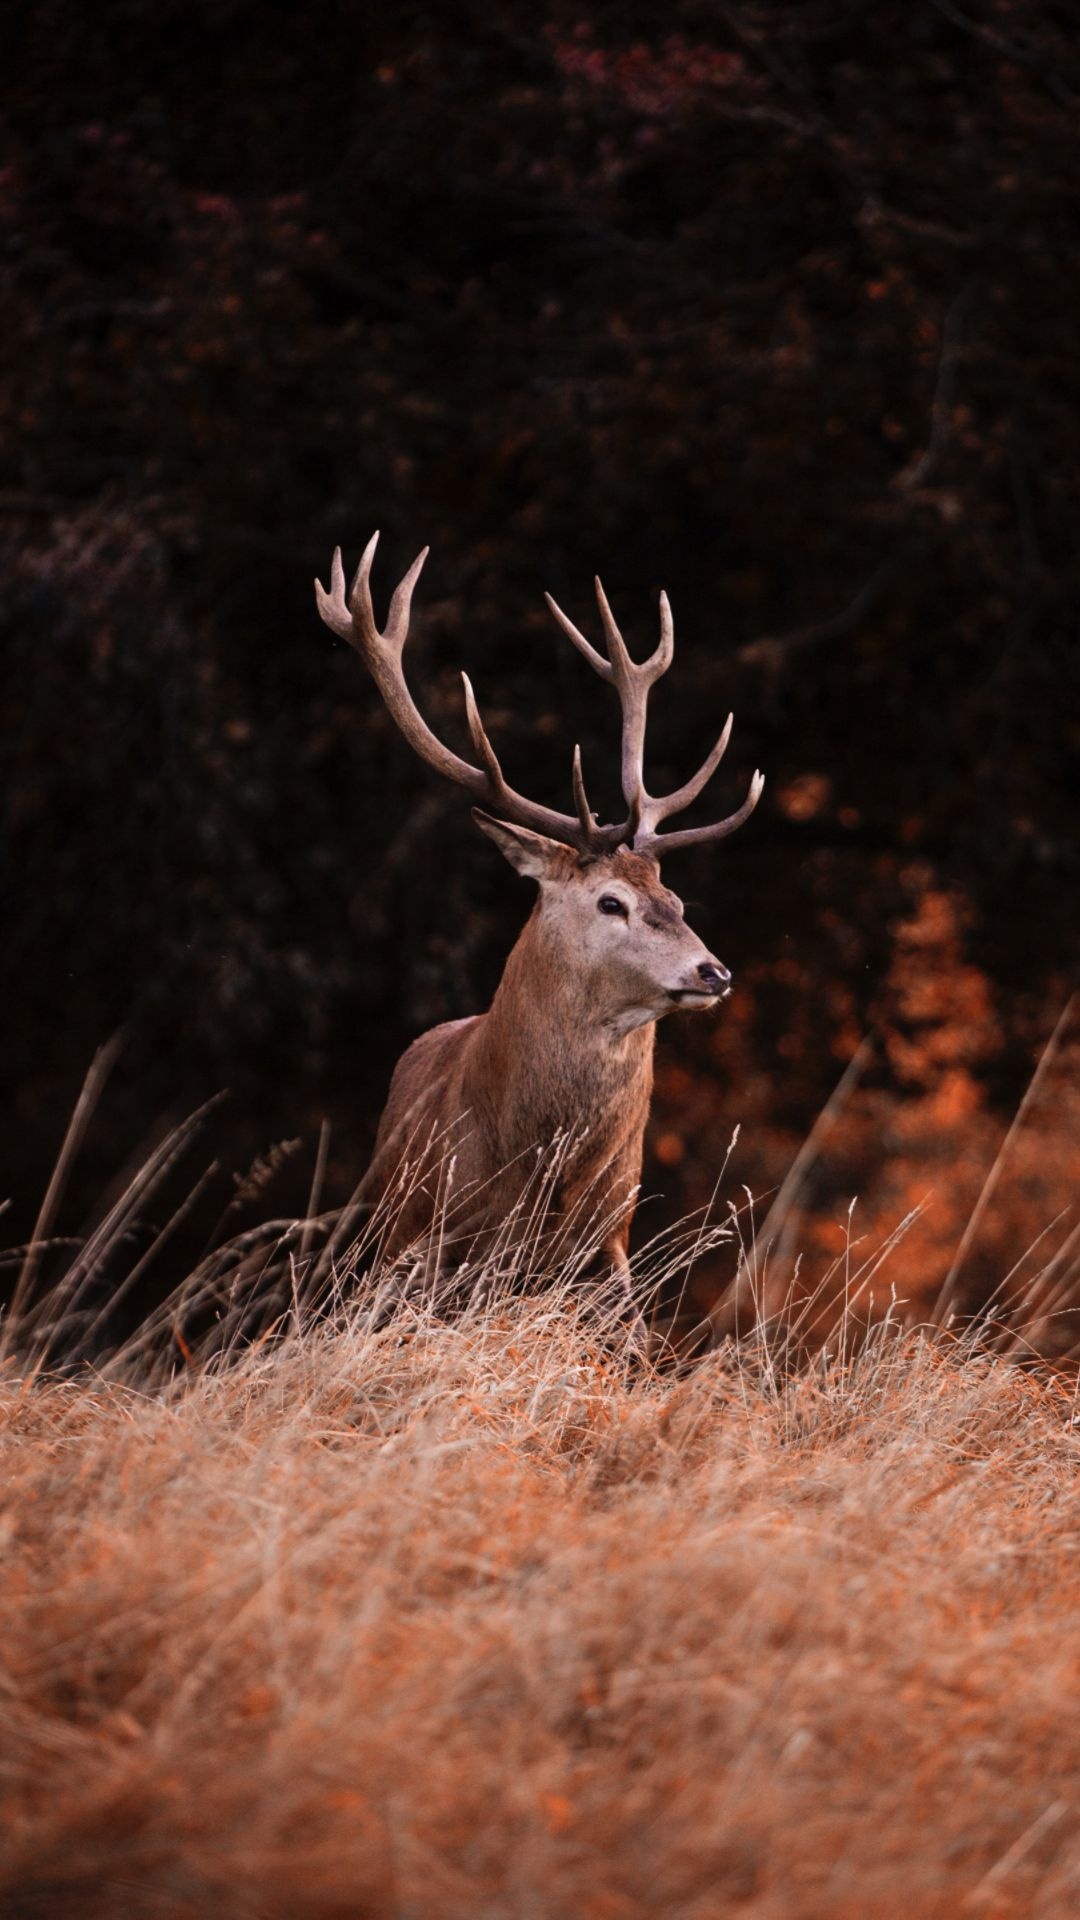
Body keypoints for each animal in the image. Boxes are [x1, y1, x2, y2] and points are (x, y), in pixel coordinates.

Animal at [314, 533, 764, 1345]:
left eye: (676, 899)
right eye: (612, 902)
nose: (712, 972)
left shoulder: (608, 1243)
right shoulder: (432, 1238)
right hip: (383, 1227)